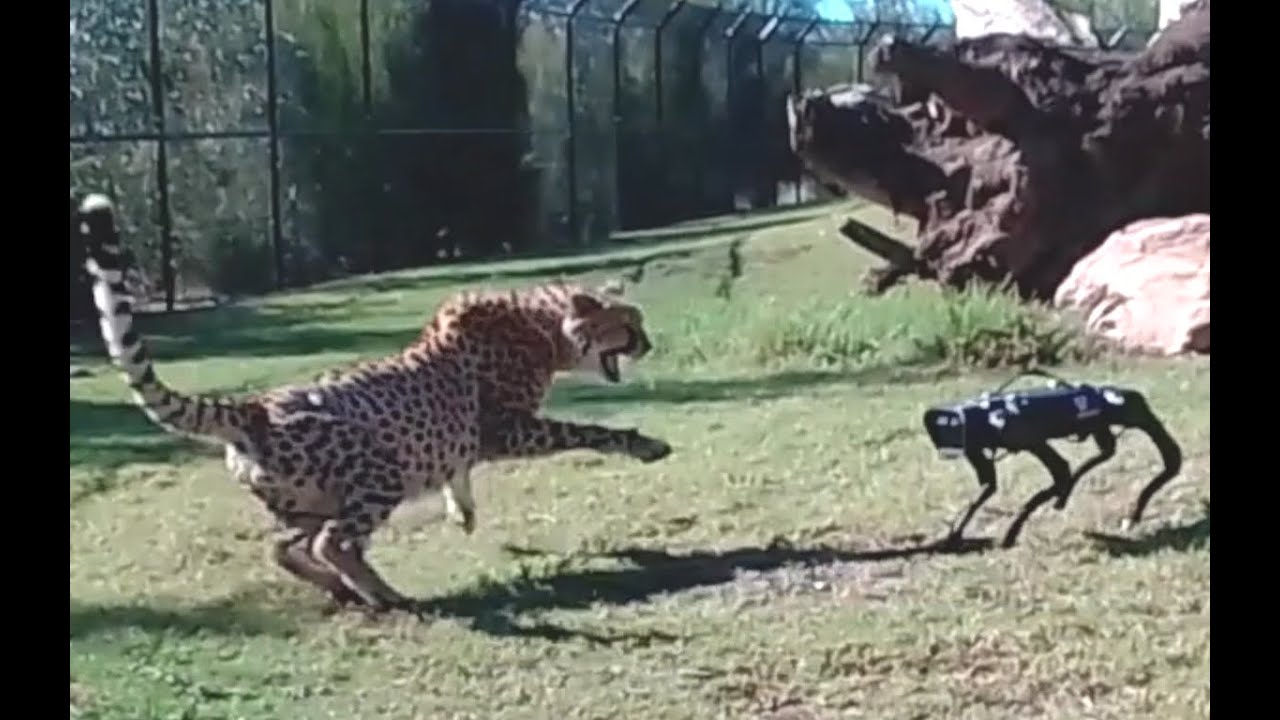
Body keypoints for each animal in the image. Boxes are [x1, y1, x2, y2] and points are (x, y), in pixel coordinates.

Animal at [76, 192, 673, 613]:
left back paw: (345, 589)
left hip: (311, 501)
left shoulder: (465, 442)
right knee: (332, 545)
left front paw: (462, 511)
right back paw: (385, 595)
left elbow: (458, 473)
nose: (649, 344)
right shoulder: (507, 429)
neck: (542, 325)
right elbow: (588, 431)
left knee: (286, 546)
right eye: (630, 325)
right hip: (378, 472)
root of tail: (253, 408)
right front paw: (645, 446)